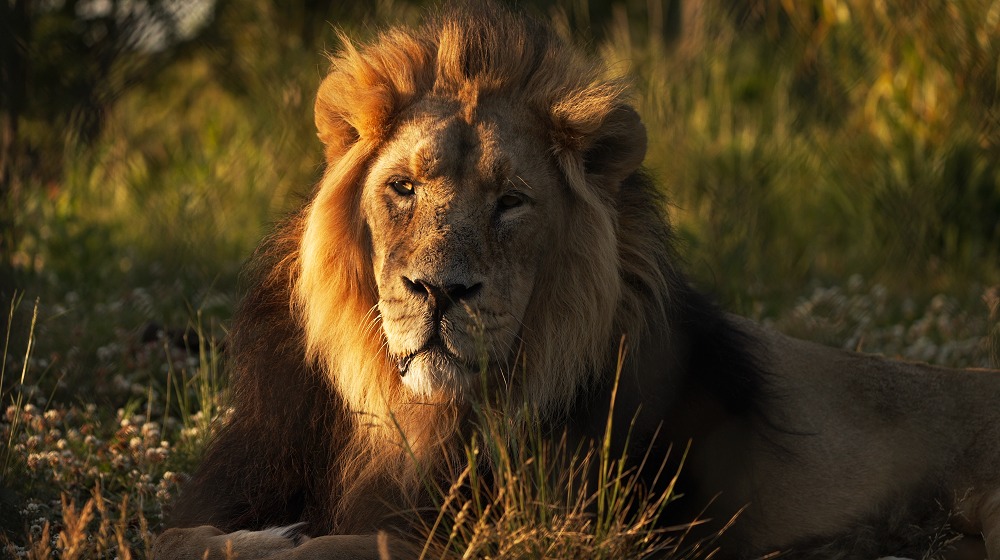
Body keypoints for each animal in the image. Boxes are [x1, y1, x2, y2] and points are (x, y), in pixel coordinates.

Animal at [154, 4, 1000, 560]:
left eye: (511, 202)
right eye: (402, 188)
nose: (440, 292)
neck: (410, 414)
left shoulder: (526, 530)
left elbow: (350, 546)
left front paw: (281, 540)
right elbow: (171, 536)